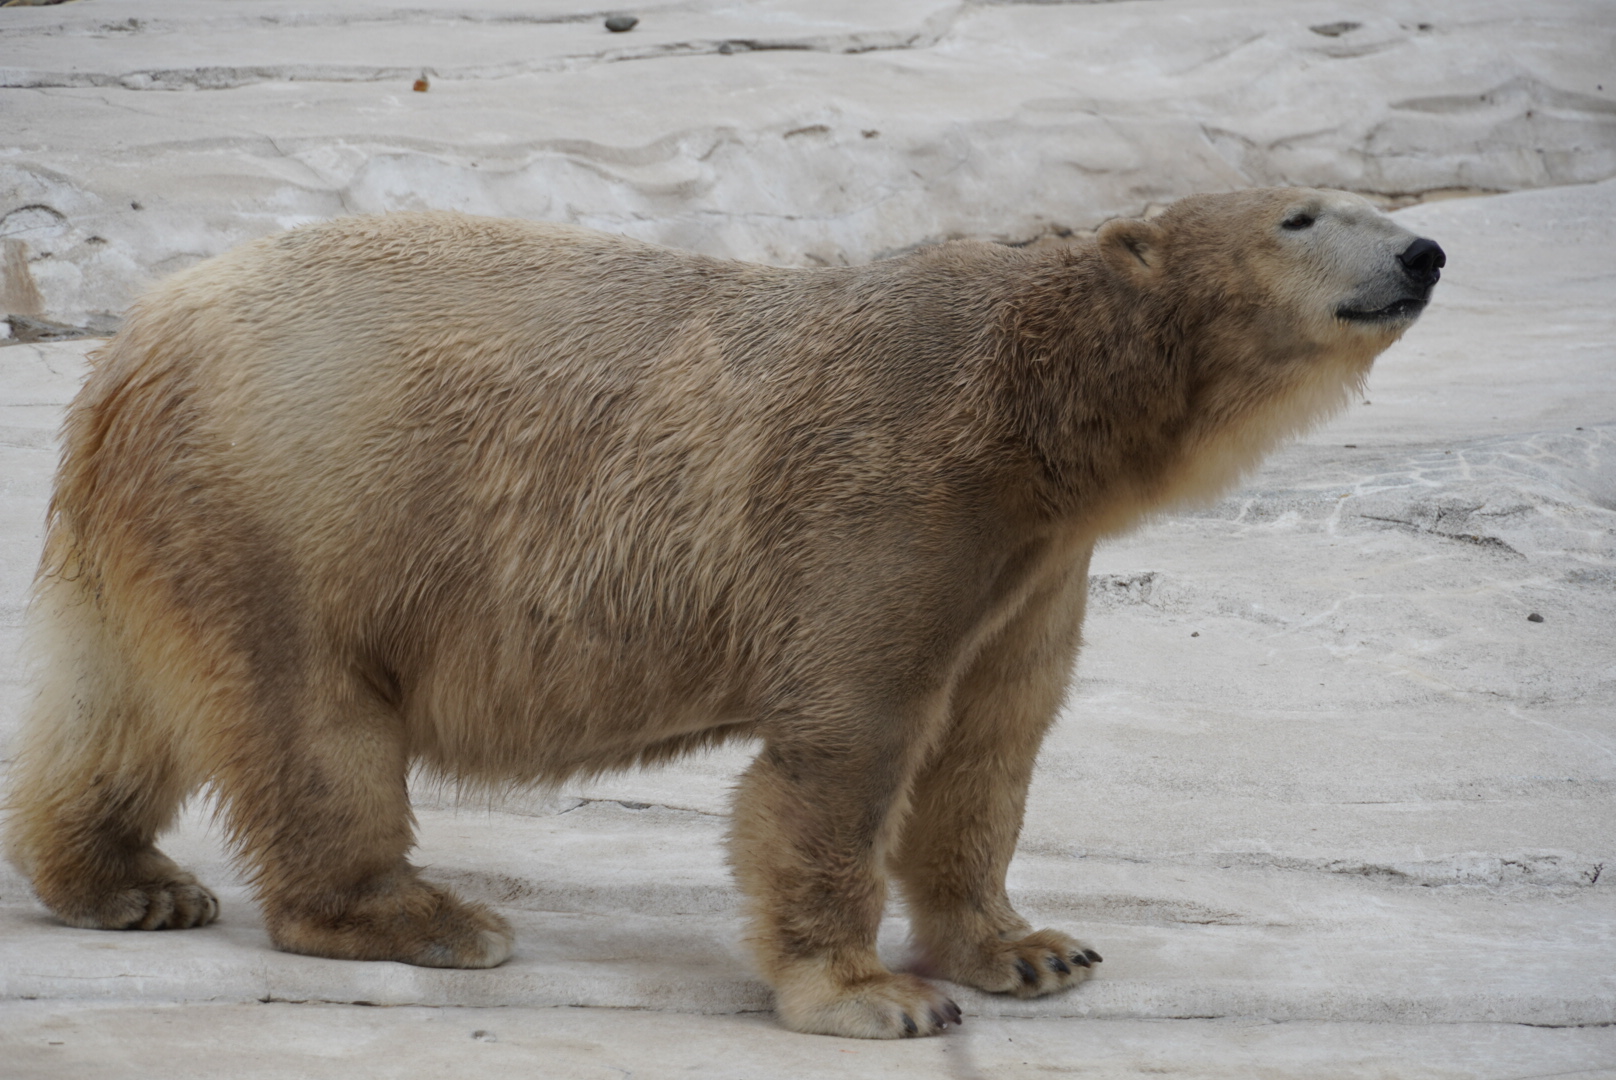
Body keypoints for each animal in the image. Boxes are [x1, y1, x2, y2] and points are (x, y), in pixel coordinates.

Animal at [4, 187, 1442, 1039]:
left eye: (1362, 201)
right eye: (1303, 211)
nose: (1426, 250)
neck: (1034, 410)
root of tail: (132, 348)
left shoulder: (1034, 565)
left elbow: (989, 748)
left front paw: (1029, 950)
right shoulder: (895, 497)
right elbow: (846, 744)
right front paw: (871, 996)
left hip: (175, 517)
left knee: (110, 708)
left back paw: (124, 883)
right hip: (306, 503)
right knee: (314, 723)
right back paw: (425, 918)